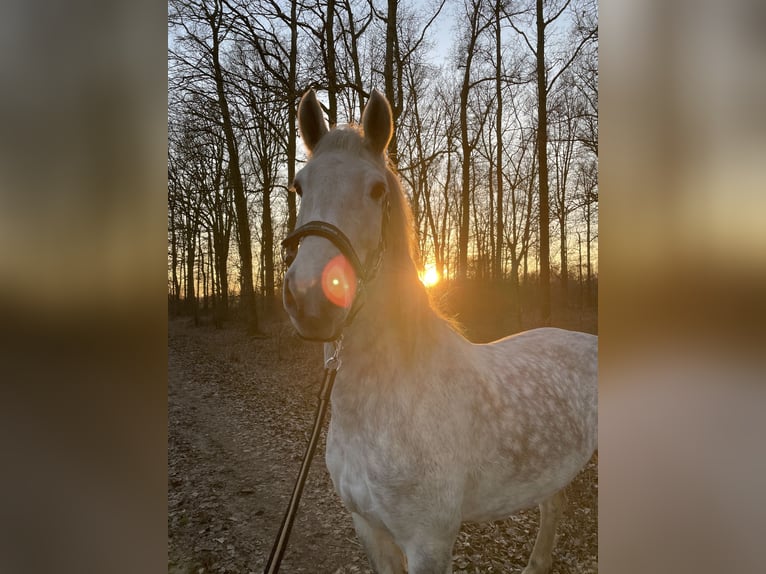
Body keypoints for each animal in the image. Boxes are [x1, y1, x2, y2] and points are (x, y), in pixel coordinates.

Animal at [282, 90, 600, 574]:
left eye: (376, 190)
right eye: (300, 186)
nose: (311, 298)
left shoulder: (428, 545)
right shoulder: (369, 529)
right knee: (553, 504)